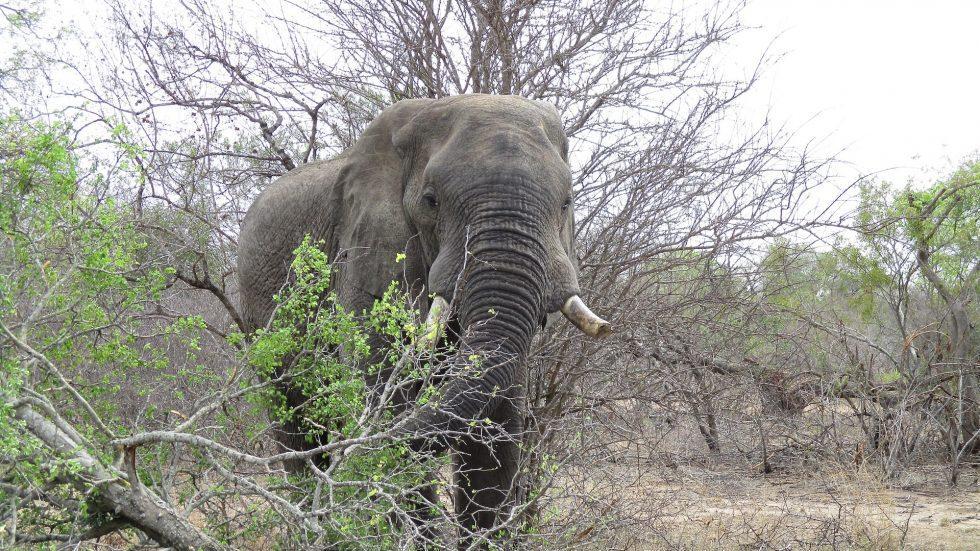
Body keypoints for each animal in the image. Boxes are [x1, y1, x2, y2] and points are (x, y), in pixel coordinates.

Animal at [236, 94, 608, 544]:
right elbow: (387, 401)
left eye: (567, 203)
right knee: (296, 421)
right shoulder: (366, 255)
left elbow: (494, 430)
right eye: (431, 201)